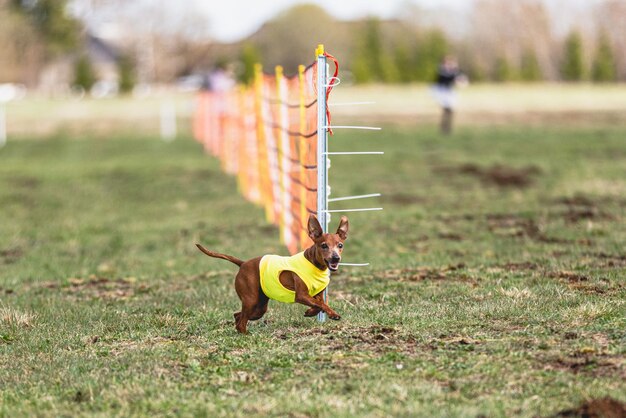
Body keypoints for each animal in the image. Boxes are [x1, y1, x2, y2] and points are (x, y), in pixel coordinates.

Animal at [195, 216, 346, 334]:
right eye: (324, 245)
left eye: (340, 245)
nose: (335, 258)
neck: (315, 265)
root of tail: (243, 264)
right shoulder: (301, 295)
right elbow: (321, 305)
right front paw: (333, 314)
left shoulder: (317, 295)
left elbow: (320, 304)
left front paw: (311, 312)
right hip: (251, 300)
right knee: (241, 321)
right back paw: (246, 334)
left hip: (259, 307)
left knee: (238, 315)